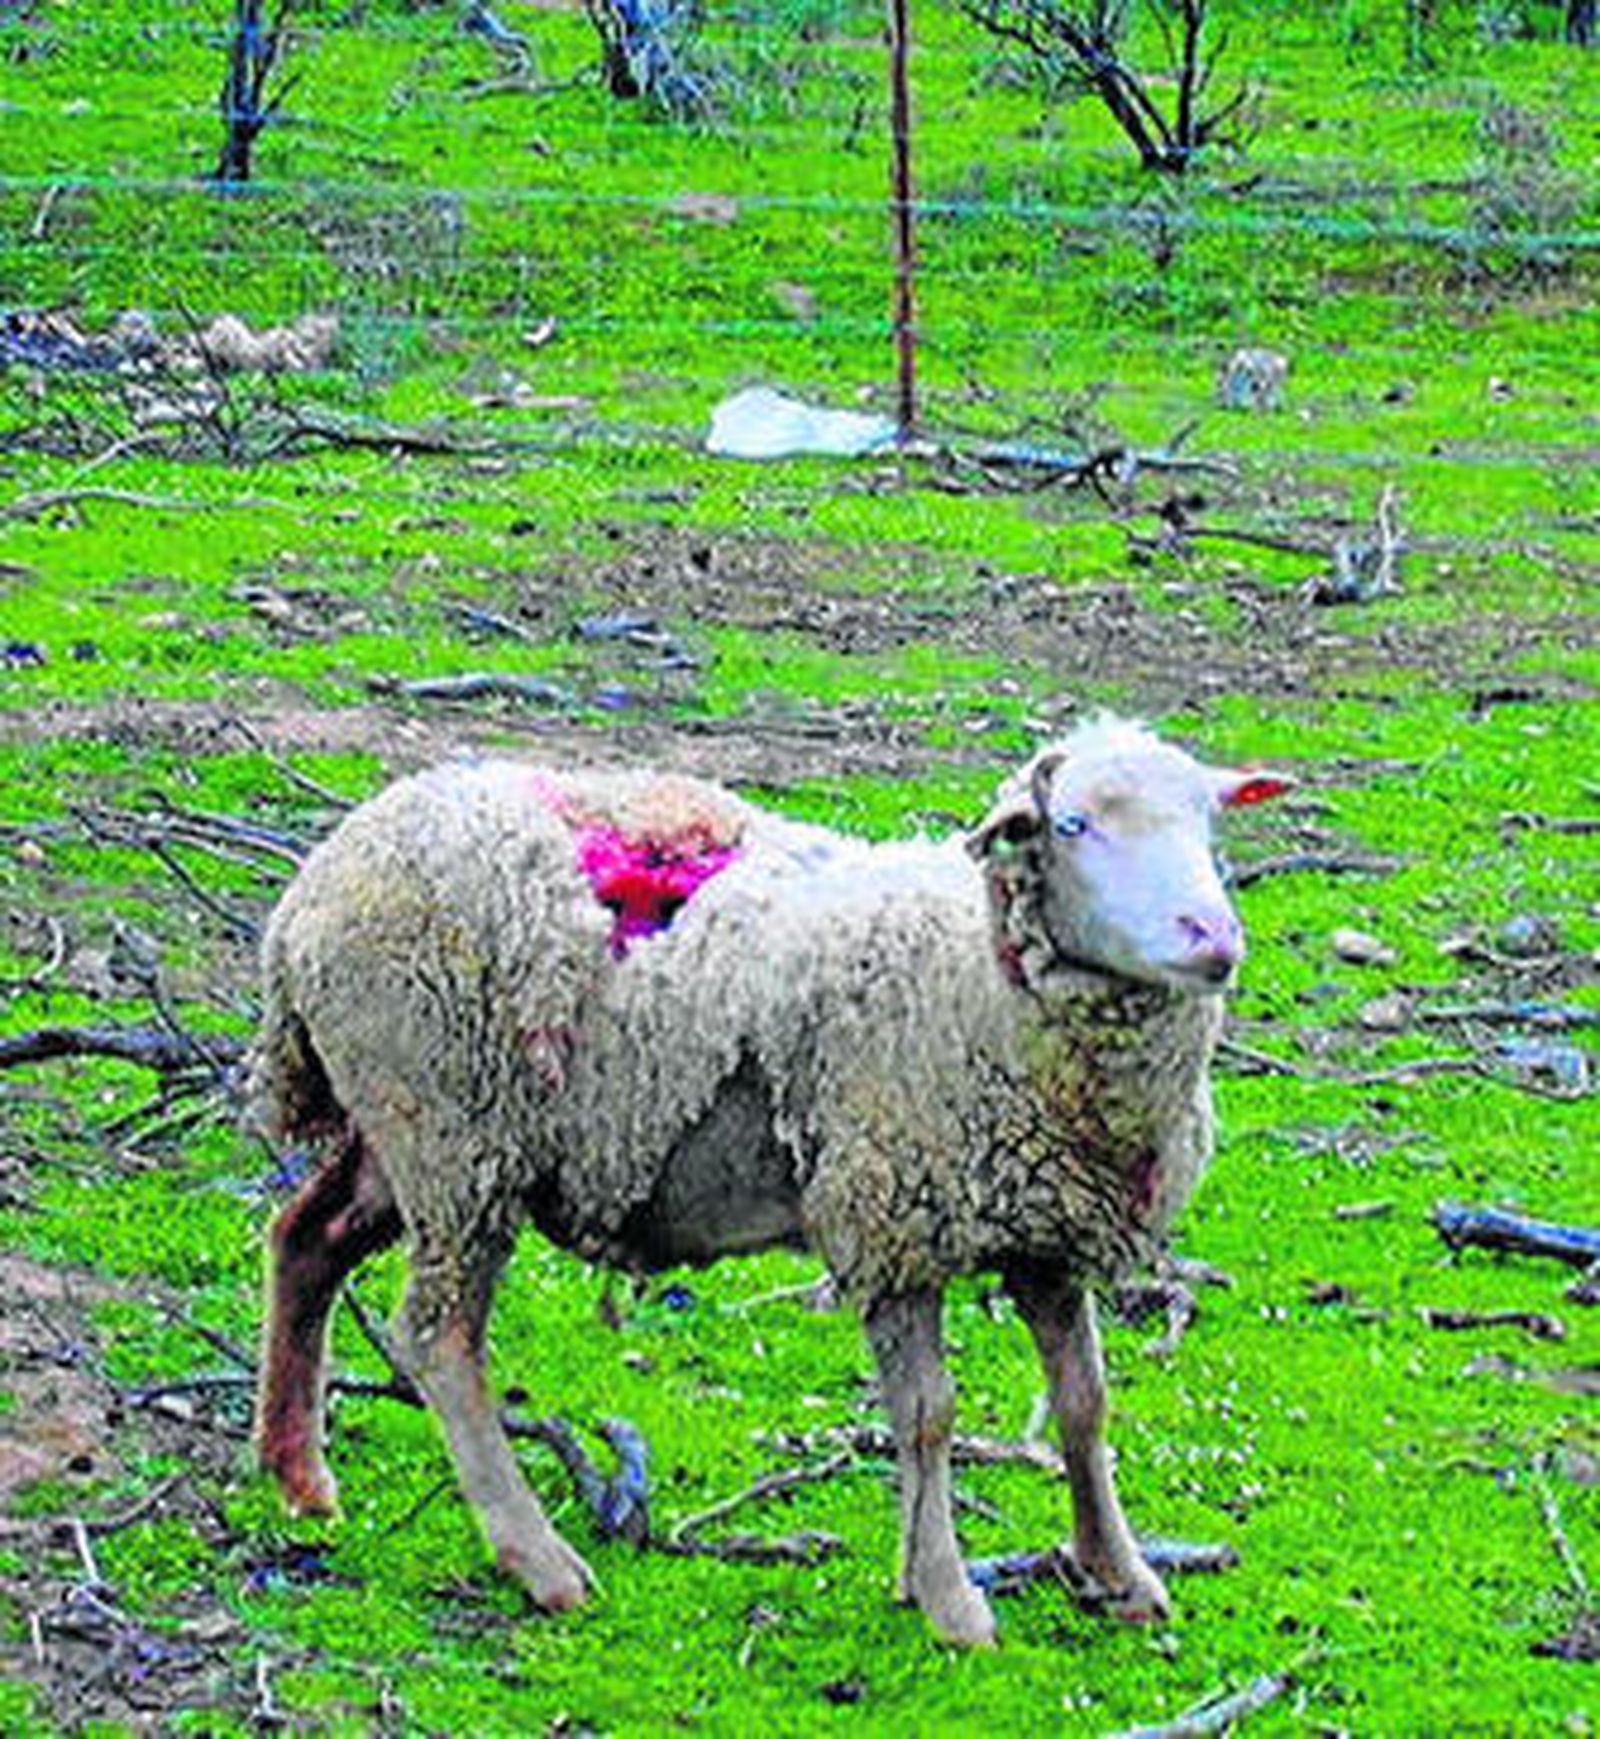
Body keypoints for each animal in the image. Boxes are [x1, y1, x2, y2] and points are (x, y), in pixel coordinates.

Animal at [248, 719, 1289, 1646]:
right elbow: (928, 1417)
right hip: (453, 1127)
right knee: (439, 1339)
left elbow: (1083, 1402)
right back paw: (537, 1559)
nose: (1213, 936)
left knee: (306, 1239)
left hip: (404, 1132)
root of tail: (311, 888)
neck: (979, 983)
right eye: (1073, 824)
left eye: (1209, 821)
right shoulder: (888, 1218)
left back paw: (298, 1476)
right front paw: (947, 1597)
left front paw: (1120, 1571)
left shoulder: (1044, 1230)